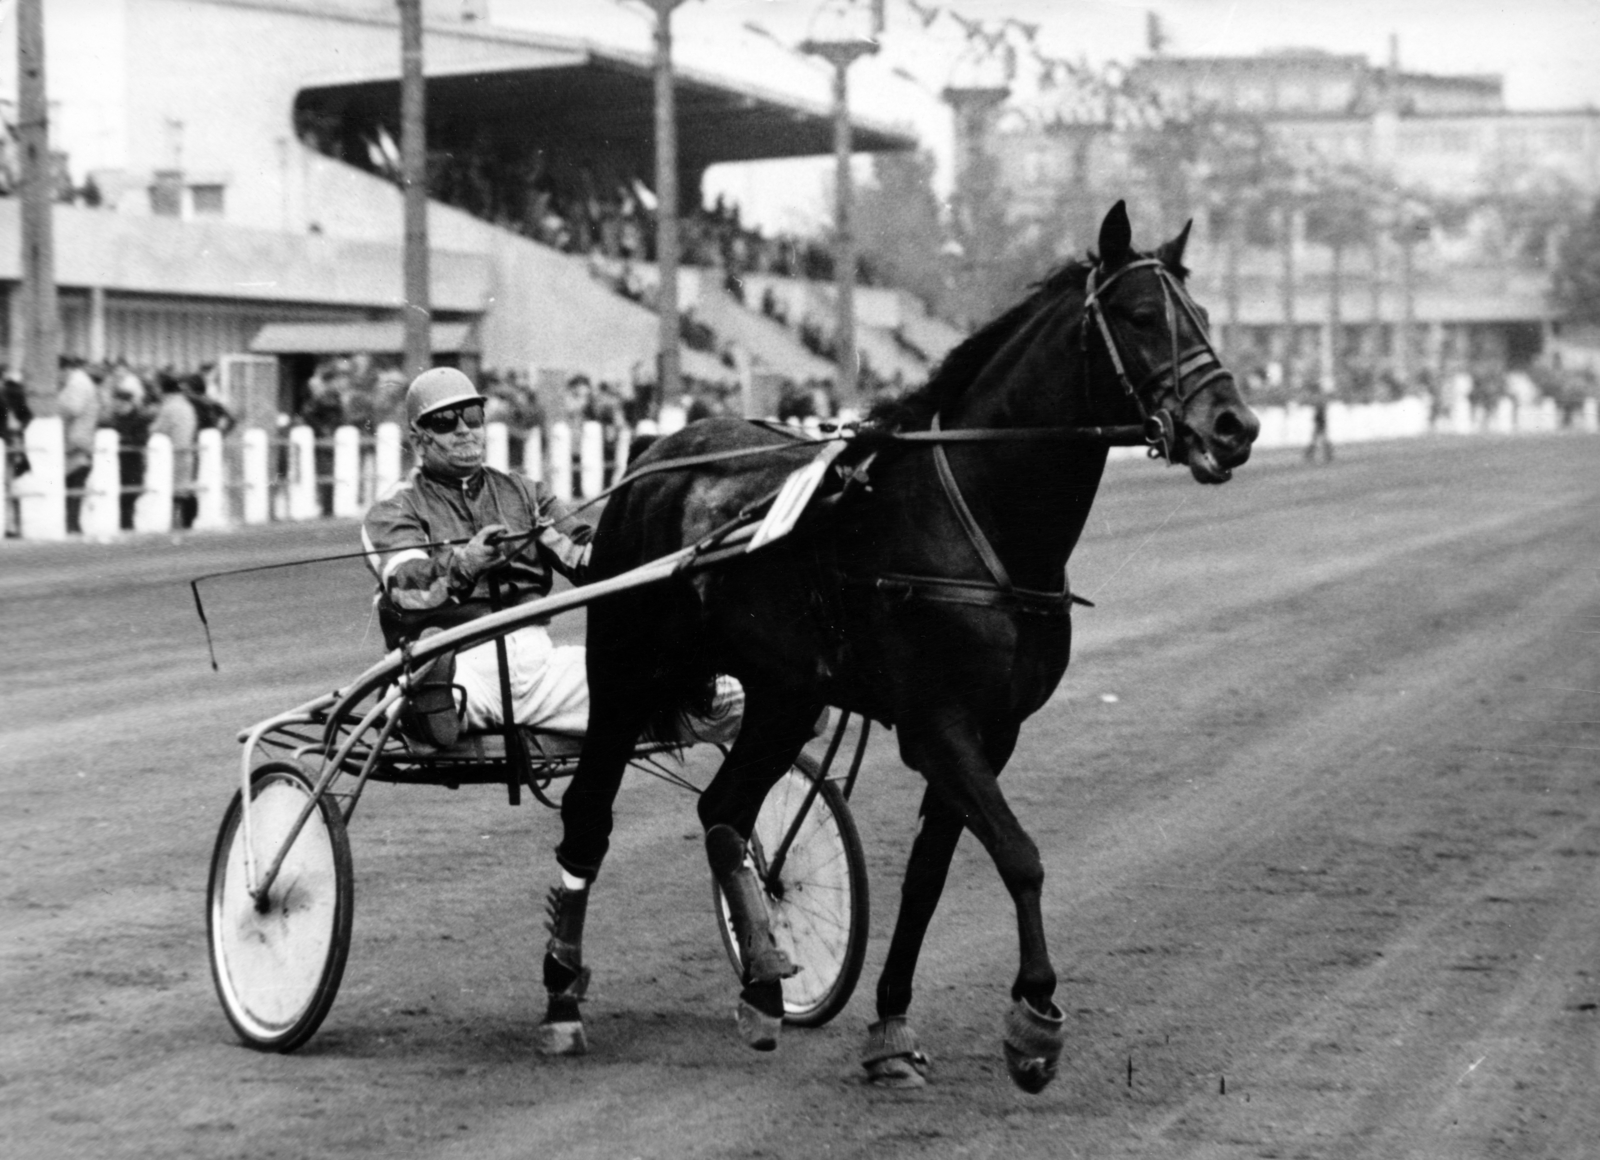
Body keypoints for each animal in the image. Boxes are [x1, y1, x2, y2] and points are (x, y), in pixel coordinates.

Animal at [537, 204, 1260, 1088]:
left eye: (1203, 315)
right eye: (1137, 315)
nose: (1233, 425)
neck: (977, 521)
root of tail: (655, 455)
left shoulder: (994, 728)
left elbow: (928, 877)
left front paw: (889, 1028)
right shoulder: (937, 723)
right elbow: (1019, 854)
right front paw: (1035, 1022)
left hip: (786, 692)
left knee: (724, 811)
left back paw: (765, 984)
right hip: (625, 671)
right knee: (590, 816)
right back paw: (564, 995)